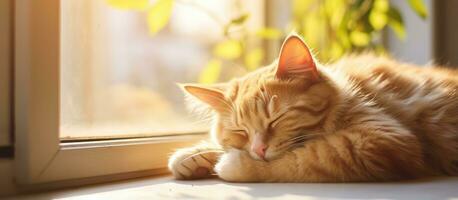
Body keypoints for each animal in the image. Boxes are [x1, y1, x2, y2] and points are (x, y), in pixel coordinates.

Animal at [167, 34, 458, 181]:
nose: (258, 149)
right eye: (241, 131)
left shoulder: (381, 138)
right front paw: (195, 155)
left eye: (276, 119)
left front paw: (236, 165)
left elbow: (302, 158)